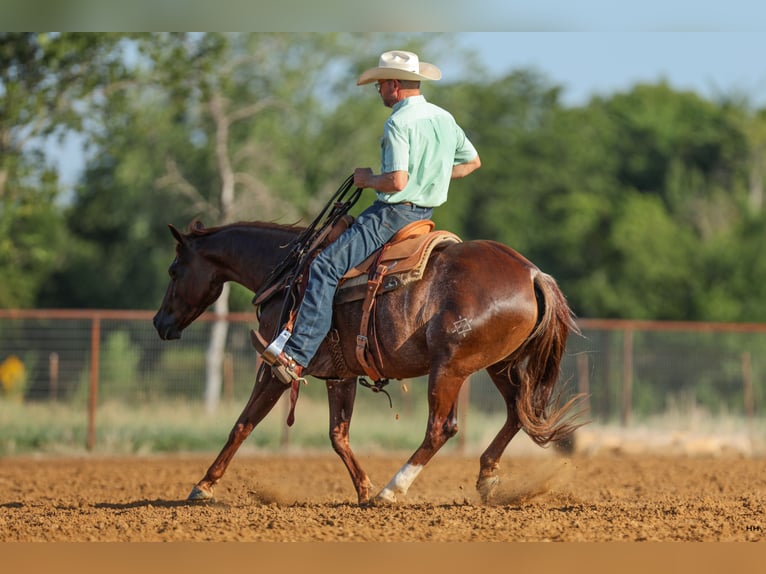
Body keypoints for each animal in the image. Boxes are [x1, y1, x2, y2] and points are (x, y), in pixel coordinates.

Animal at [153, 218, 584, 506]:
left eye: (174, 269)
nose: (160, 323)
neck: (291, 275)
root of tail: (532, 273)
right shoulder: (339, 375)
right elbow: (337, 435)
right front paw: (361, 489)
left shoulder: (276, 368)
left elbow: (243, 423)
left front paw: (203, 485)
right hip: (500, 365)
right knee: (516, 413)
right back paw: (486, 478)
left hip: (450, 368)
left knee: (441, 428)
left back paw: (392, 490)